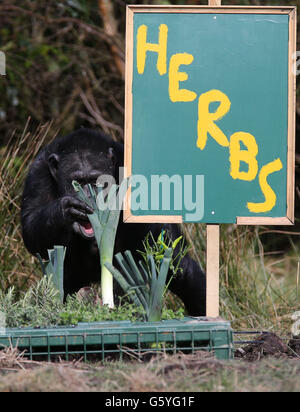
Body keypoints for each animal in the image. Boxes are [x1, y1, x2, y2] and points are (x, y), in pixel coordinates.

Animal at [21, 129, 206, 316]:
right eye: (77, 182)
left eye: (97, 181)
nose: (89, 196)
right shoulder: (37, 173)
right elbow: (31, 228)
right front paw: (66, 207)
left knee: (182, 269)